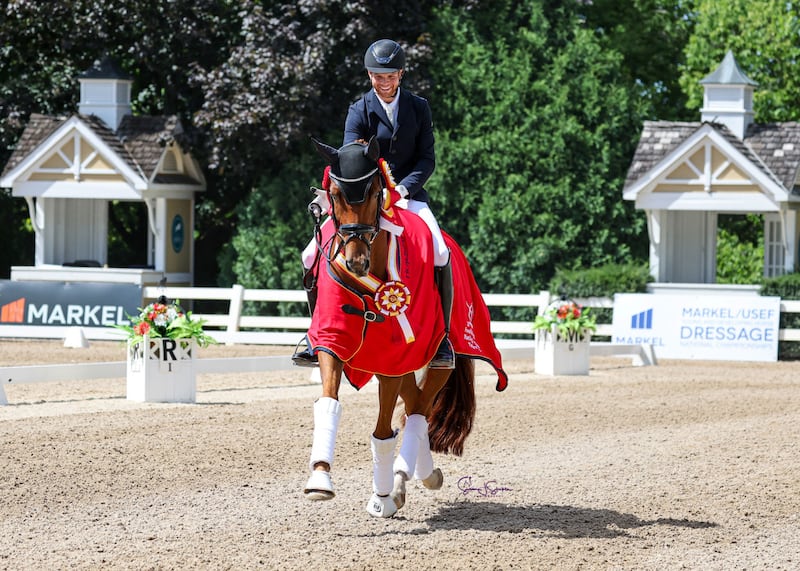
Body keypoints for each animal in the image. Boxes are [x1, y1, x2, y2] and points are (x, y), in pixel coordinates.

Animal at [301, 136, 507, 518]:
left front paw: (382, 496)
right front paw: (320, 479)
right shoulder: (333, 342)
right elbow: (329, 399)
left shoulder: (392, 361)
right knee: (414, 406)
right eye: (334, 194)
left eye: (373, 192)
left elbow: (384, 430)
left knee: (418, 411)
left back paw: (407, 479)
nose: (355, 261)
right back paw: (420, 474)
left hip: (437, 356)